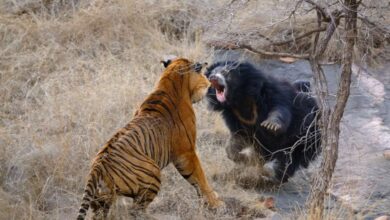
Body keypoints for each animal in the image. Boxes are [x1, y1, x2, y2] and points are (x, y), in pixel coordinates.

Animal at [76, 57, 222, 219]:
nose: (209, 83)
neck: (169, 82)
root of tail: (97, 168)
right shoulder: (186, 152)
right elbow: (199, 177)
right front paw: (215, 203)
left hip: (101, 200)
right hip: (153, 173)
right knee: (136, 210)